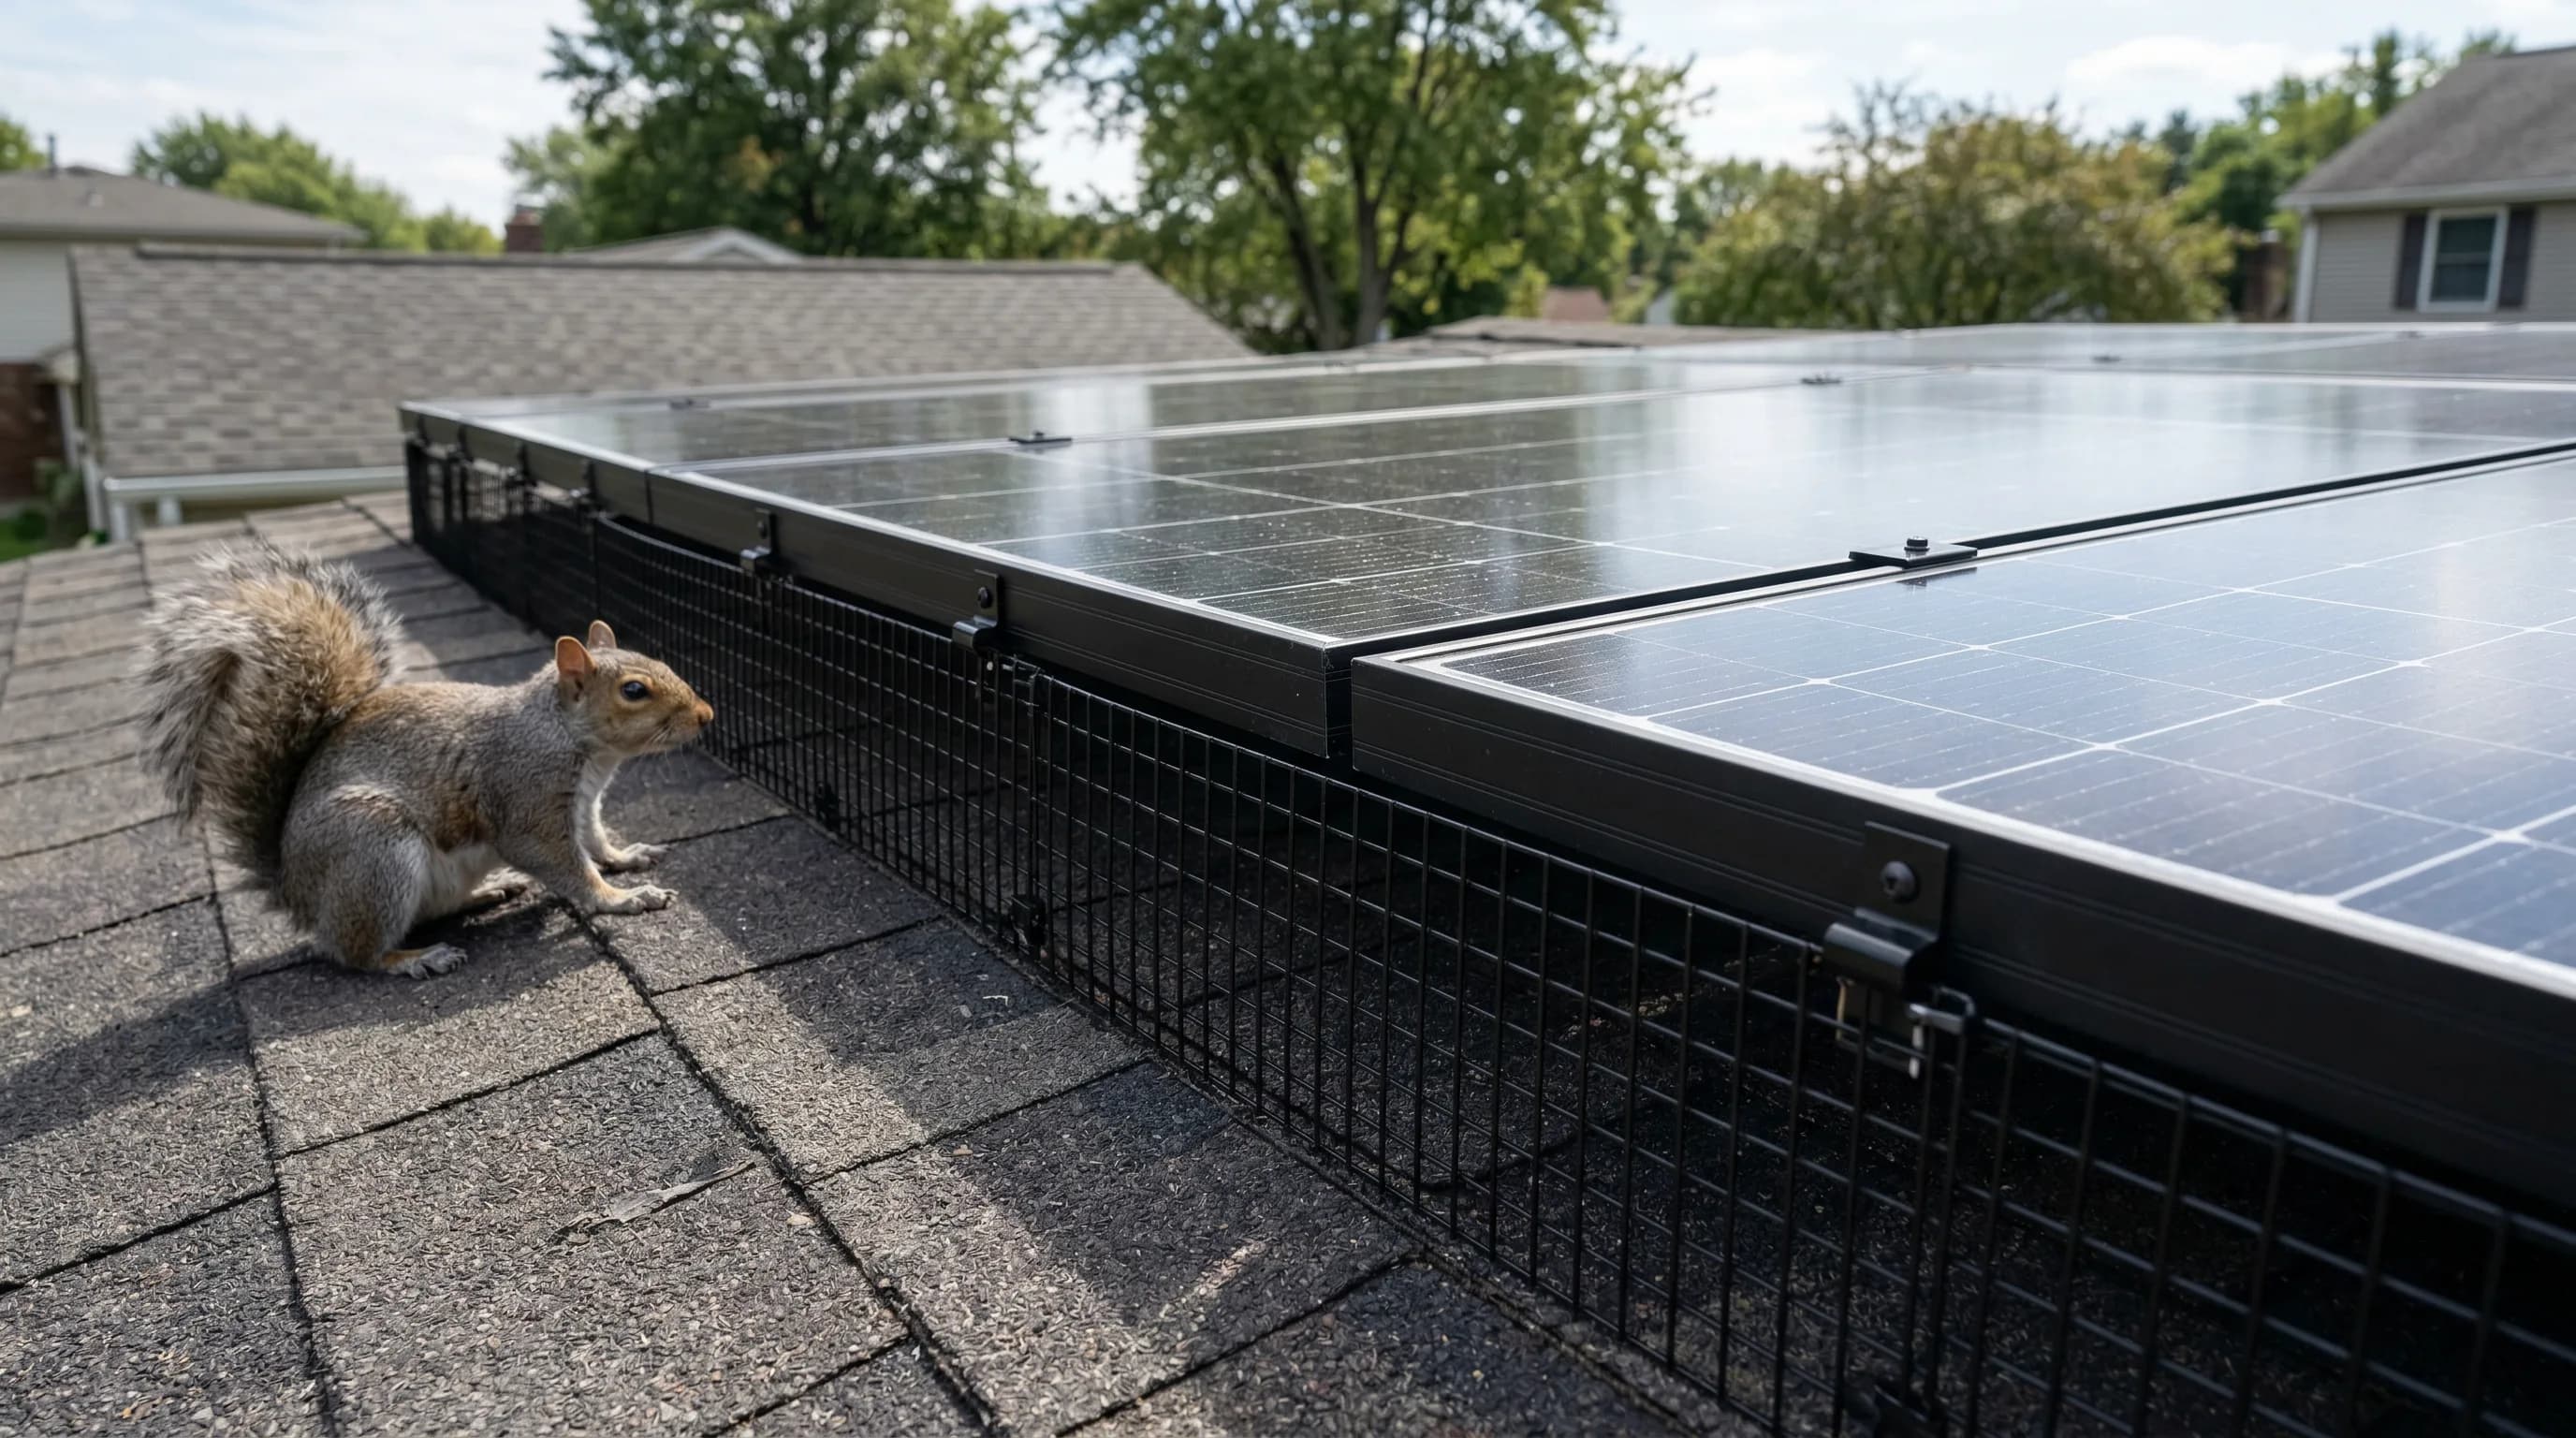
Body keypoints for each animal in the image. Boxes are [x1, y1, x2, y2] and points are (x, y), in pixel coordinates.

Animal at [140, 544, 714, 978]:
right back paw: (415, 958)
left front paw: (627, 856)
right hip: (374, 851)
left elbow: (596, 841)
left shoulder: (584, 805)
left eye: (657, 660)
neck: (567, 738)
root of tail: (296, 892)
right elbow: (565, 864)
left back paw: (488, 891)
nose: (706, 715)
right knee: (353, 953)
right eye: (634, 690)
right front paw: (623, 898)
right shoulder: (525, 797)